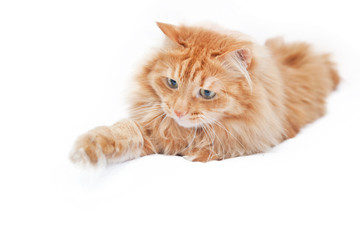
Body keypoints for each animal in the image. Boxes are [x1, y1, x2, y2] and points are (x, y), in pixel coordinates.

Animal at [69, 22, 338, 165]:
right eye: (172, 83)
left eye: (207, 93)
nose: (178, 111)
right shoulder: (152, 133)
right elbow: (123, 132)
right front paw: (90, 148)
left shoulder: (249, 137)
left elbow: (221, 145)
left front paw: (195, 154)